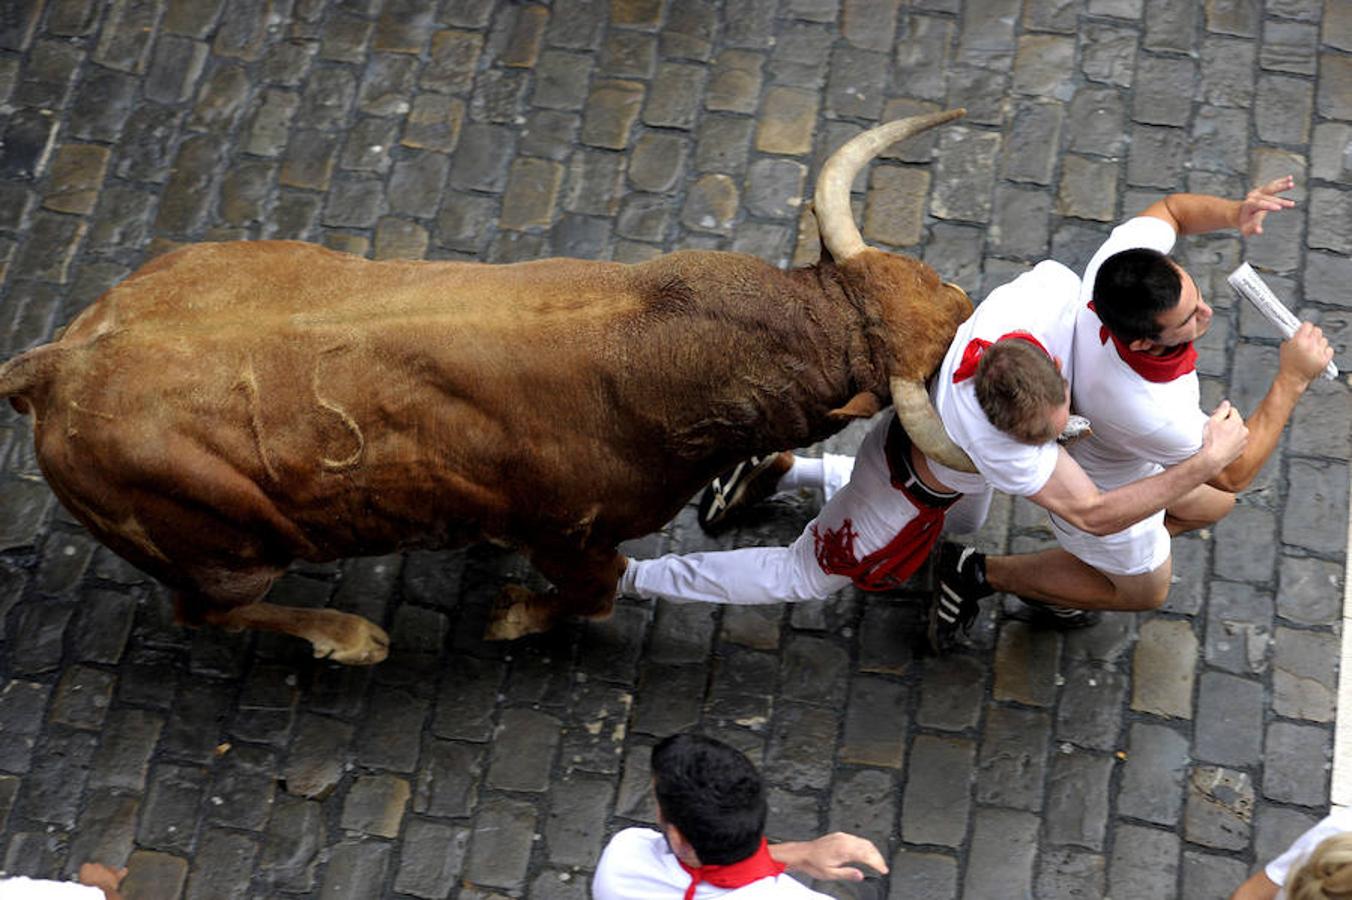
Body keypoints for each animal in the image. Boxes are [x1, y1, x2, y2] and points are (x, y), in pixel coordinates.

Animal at [0, 110, 973, 659]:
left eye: (937, 284)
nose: (971, 306)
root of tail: (51, 365)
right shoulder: (573, 534)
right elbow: (592, 595)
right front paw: (510, 618)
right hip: (229, 555)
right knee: (204, 615)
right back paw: (349, 640)